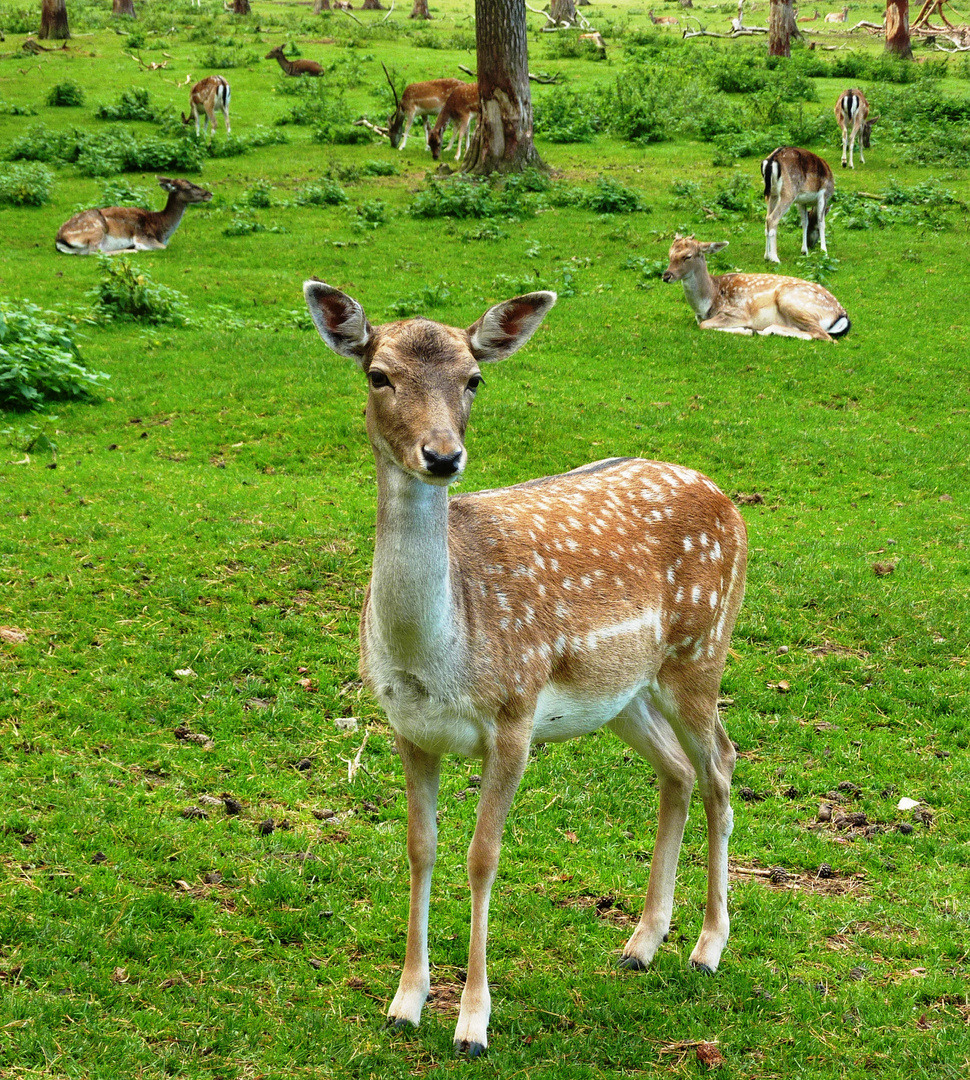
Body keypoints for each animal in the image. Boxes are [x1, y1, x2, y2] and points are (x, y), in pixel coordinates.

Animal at [54, 177, 211, 254]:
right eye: (189, 186)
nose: (209, 194)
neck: (162, 229)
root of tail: (59, 240)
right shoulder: (143, 236)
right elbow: (162, 247)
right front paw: (137, 248)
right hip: (96, 230)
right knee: (95, 252)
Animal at [302, 278, 747, 1054]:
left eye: (473, 378)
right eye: (378, 374)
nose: (442, 455)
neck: (440, 655)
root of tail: (733, 503)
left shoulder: (514, 717)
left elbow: (482, 856)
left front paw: (472, 1022)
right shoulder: (407, 727)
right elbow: (420, 847)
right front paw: (404, 1002)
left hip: (700, 651)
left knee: (721, 764)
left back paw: (707, 947)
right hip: (623, 694)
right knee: (677, 770)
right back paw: (641, 943)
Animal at [665, 235, 846, 341]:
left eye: (687, 256)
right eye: (670, 254)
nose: (666, 275)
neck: (707, 304)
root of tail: (841, 314)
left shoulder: (737, 312)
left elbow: (704, 325)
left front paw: (746, 330)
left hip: (792, 300)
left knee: (823, 336)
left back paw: (764, 330)